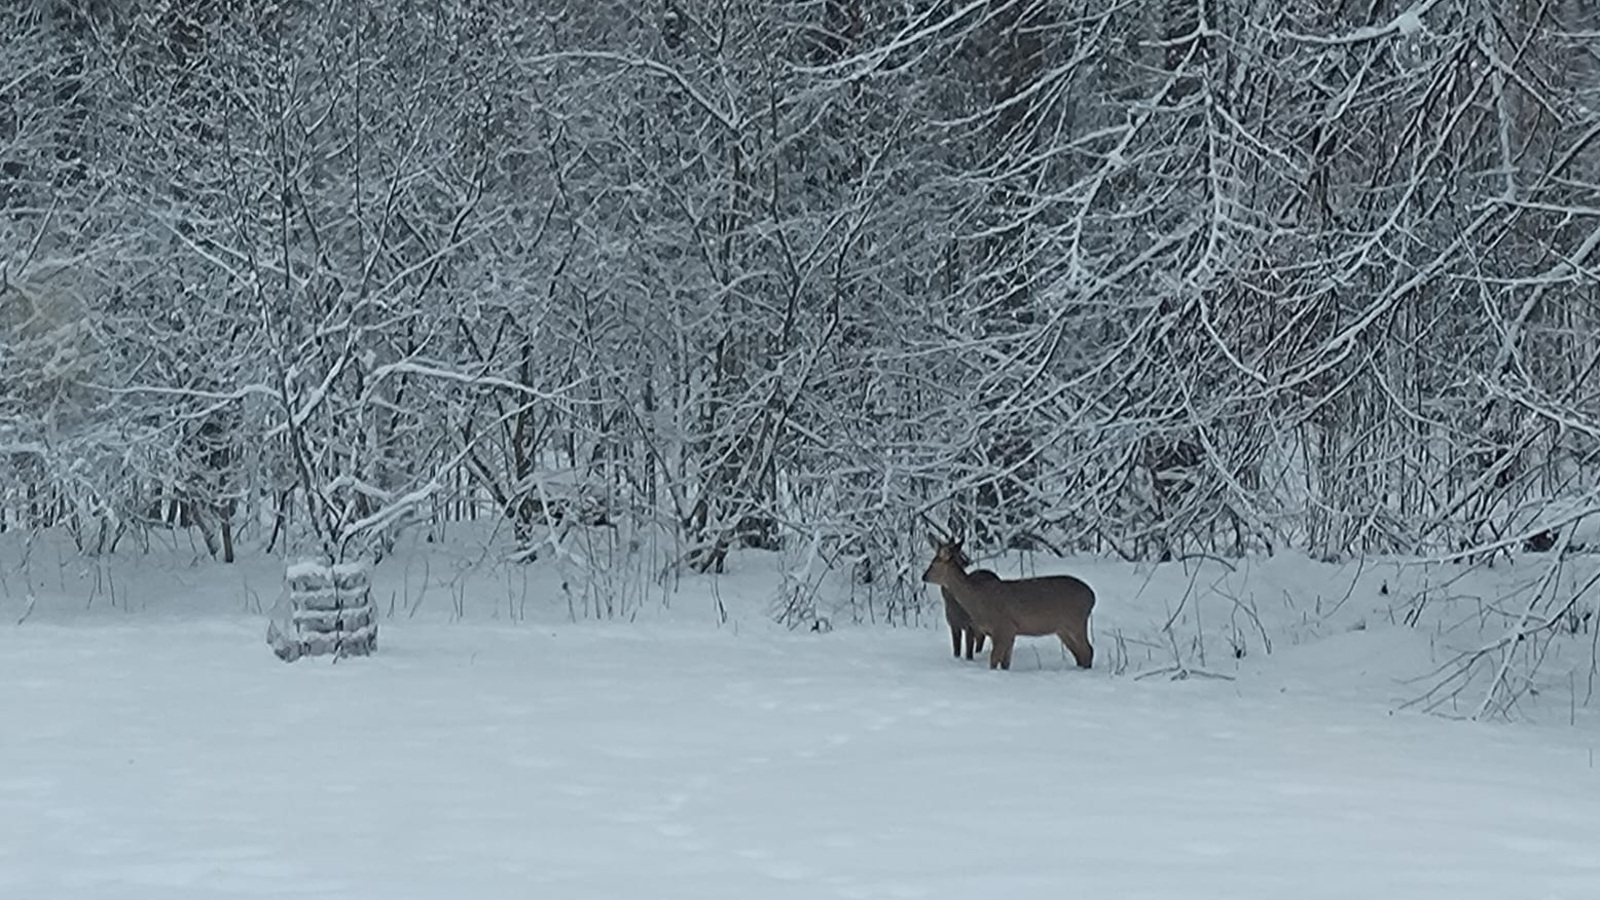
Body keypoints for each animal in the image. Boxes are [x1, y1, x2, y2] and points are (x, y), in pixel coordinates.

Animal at [921, 531, 1094, 666]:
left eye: (934, 563)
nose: (924, 576)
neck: (977, 600)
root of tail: (1092, 597)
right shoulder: (1009, 632)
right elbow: (1005, 663)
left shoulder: (1003, 627)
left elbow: (994, 660)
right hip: (1063, 629)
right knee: (1080, 654)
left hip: (1076, 621)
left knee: (1088, 650)